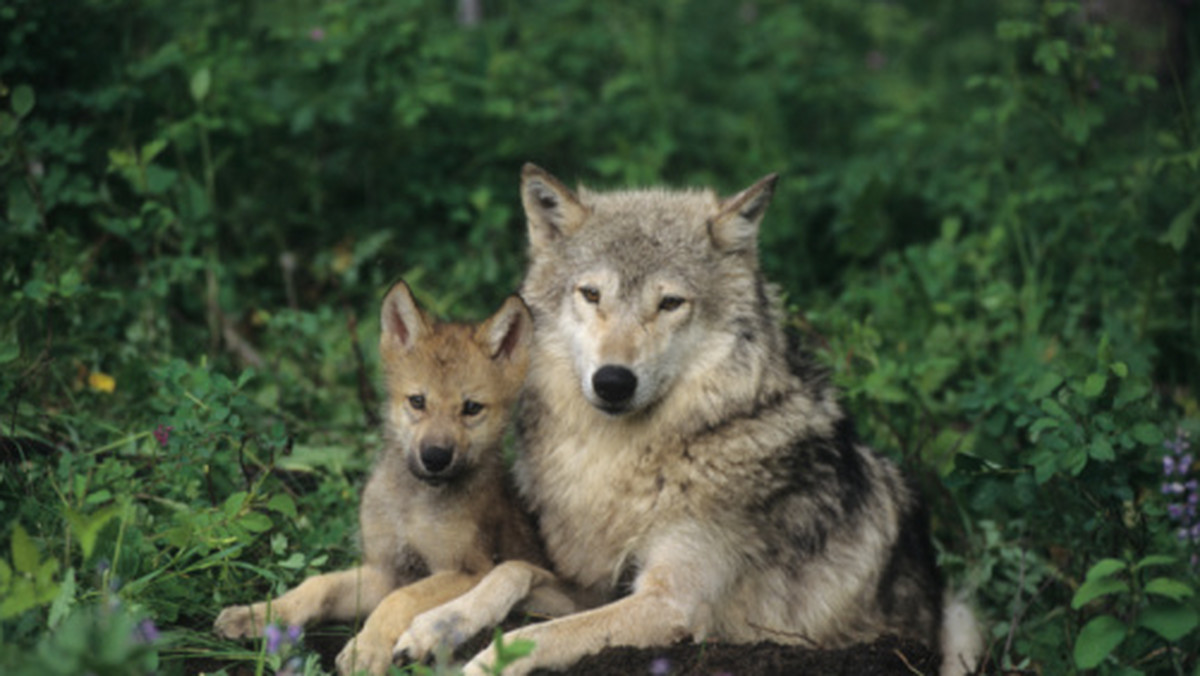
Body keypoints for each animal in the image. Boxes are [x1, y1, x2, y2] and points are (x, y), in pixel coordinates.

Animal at [408, 165, 979, 676]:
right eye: (591, 294)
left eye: (670, 303)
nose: (612, 381)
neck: (626, 459)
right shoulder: (598, 584)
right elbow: (513, 569)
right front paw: (434, 625)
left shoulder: (671, 602)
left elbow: (539, 635)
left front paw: (480, 664)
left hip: (964, 622)